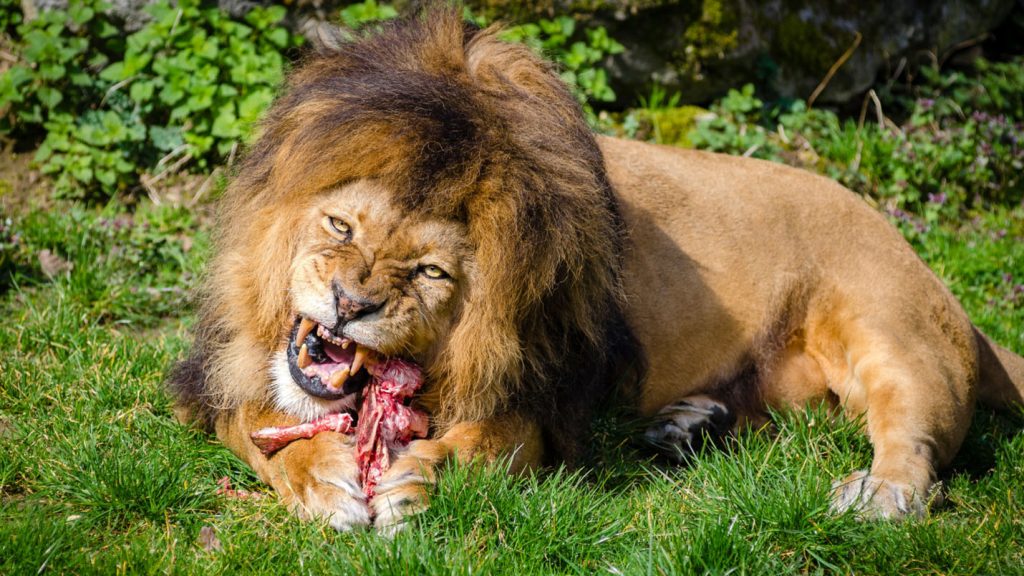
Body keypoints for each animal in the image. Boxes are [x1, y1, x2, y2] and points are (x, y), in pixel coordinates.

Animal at [169, 9, 1024, 532]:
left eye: (432, 273)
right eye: (340, 226)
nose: (349, 304)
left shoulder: (542, 399)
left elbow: (482, 445)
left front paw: (418, 480)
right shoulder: (216, 377)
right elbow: (262, 431)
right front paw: (324, 482)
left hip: (891, 332)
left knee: (915, 442)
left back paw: (876, 493)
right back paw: (688, 426)